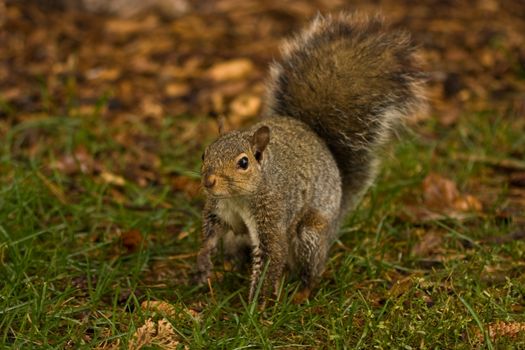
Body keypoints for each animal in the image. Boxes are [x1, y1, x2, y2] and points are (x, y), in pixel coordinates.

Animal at [194, 13, 424, 302]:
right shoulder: (218, 209)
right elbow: (210, 234)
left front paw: (255, 306)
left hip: (309, 235)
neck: (238, 197)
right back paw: (230, 266)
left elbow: (272, 256)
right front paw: (203, 262)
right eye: (205, 153)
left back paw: (301, 293)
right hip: (239, 239)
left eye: (243, 162)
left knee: (311, 271)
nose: (209, 182)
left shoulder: (273, 215)